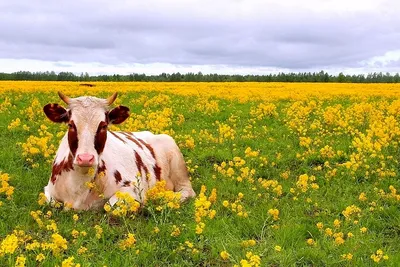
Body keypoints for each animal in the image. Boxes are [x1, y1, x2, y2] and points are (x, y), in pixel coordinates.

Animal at [41, 92, 195, 211]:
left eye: (103, 126)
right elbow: (51, 202)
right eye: (71, 125)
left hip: (178, 166)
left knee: (187, 191)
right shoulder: (48, 190)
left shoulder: (132, 188)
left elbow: (110, 205)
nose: (85, 158)